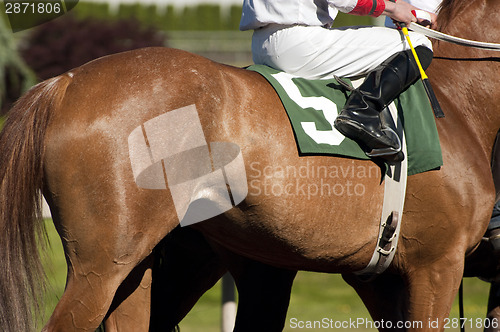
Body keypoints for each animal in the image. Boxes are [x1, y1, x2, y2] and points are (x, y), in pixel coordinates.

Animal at [0, 0, 500, 330]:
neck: (458, 100)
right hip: (101, 265)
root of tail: (65, 82)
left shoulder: (382, 277)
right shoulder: (436, 265)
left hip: (142, 265)